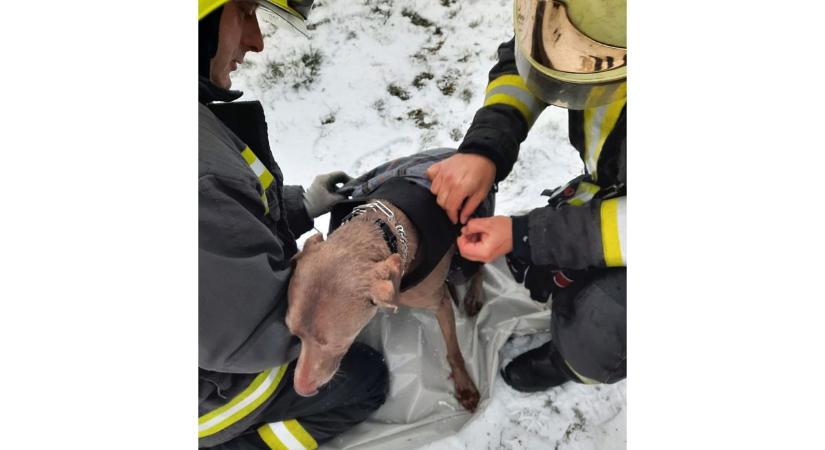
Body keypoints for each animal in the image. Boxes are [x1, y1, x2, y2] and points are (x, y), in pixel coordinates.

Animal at [288, 200, 486, 412]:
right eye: (295, 335)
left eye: (337, 343)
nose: (301, 390)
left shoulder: (440, 304)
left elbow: (454, 351)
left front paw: (465, 386)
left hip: (465, 259)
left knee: (479, 266)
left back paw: (473, 296)